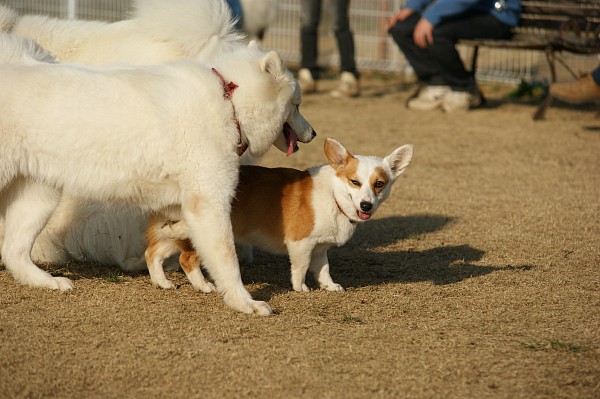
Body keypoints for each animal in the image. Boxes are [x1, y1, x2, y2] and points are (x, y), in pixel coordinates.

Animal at [0, 25, 316, 318]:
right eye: (297, 104)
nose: (313, 134)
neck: (229, 102)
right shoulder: (209, 205)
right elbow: (228, 262)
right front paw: (244, 303)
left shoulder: (184, 207)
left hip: (39, 196)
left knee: (14, 251)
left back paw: (46, 282)